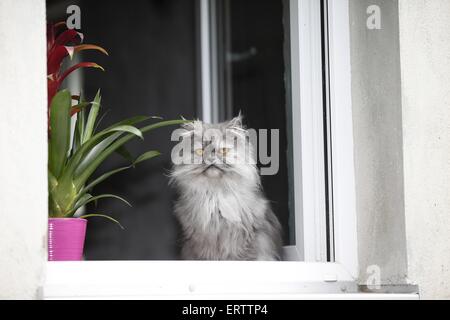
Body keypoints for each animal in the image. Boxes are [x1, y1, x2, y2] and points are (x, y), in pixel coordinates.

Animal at [169, 115, 282, 260]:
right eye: (201, 151)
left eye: (223, 150)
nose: (211, 159)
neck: (215, 194)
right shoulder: (199, 243)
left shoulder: (247, 239)